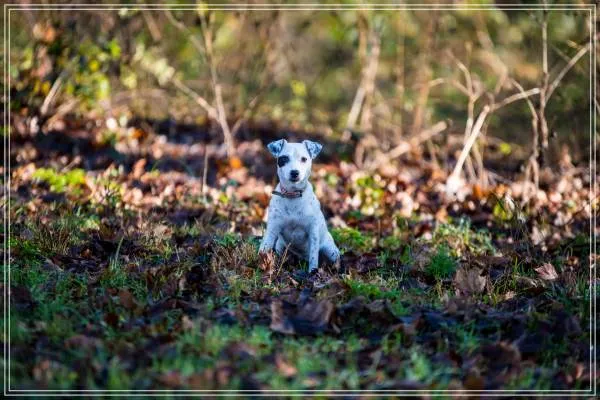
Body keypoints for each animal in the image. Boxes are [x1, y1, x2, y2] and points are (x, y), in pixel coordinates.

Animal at [259, 139, 340, 273]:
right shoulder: (272, 228)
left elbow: (314, 257)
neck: (293, 196)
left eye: (304, 159)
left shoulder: (313, 231)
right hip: (281, 246)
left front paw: (312, 272)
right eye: (284, 158)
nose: (294, 172)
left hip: (331, 251)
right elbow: (265, 247)